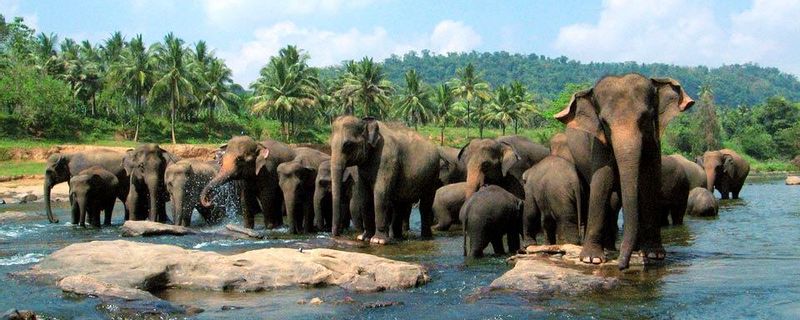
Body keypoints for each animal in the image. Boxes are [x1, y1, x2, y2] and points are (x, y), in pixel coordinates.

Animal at [332, 116, 444, 244]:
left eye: (347, 144)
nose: (337, 235)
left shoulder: (387, 158)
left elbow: (380, 193)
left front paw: (377, 240)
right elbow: (364, 195)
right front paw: (363, 237)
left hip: (433, 175)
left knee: (425, 205)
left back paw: (426, 237)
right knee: (400, 204)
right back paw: (397, 237)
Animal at [556, 74, 692, 268]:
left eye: (645, 118)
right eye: (604, 123)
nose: (622, 266)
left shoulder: (653, 142)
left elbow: (649, 182)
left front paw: (654, 254)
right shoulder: (599, 142)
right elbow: (601, 181)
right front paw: (591, 259)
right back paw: (610, 248)